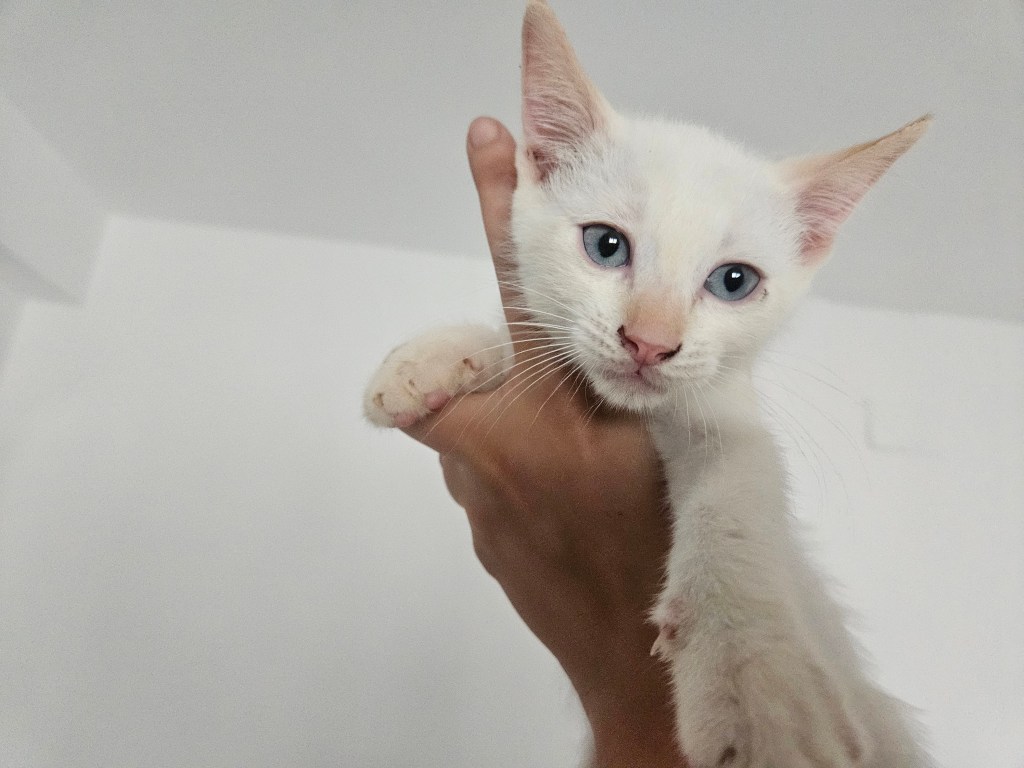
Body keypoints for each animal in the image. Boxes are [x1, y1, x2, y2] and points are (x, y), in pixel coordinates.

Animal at [364, 1, 932, 766]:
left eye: (734, 282)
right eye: (606, 245)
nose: (650, 342)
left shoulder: (731, 420)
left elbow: (735, 504)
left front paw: (755, 688)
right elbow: (529, 340)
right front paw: (430, 357)